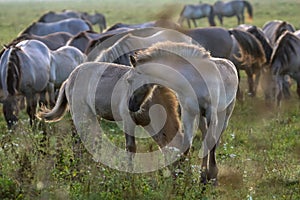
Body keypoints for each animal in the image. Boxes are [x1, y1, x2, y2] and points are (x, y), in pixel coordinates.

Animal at [127, 41, 239, 185]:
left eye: (129, 80)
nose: (131, 106)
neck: (194, 80)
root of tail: (230, 63)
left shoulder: (211, 112)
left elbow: (211, 141)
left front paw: (213, 176)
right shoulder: (188, 112)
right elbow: (187, 143)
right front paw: (184, 175)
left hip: (225, 113)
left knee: (216, 138)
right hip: (201, 116)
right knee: (204, 135)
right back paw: (202, 176)